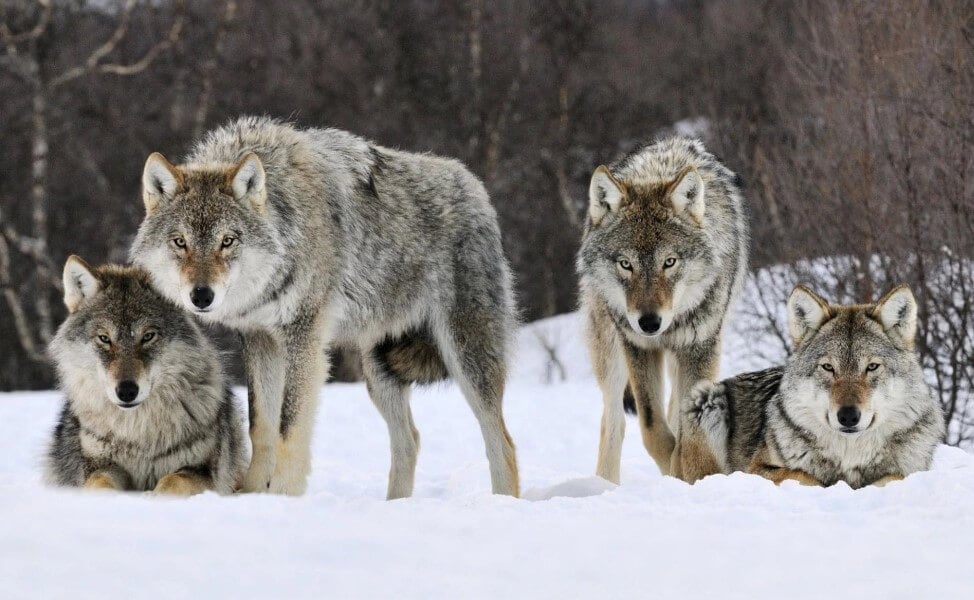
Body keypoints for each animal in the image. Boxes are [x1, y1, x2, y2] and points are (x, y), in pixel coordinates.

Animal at [44, 255, 248, 494]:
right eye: (104, 338)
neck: (138, 434)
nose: (126, 391)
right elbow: (99, 484)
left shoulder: (202, 470)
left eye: (148, 336)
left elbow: (172, 482)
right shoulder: (100, 466)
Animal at [135, 116, 528, 496]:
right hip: (379, 371)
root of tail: (475, 186)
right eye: (180, 242)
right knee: (410, 441)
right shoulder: (260, 339)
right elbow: (260, 428)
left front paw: (283, 496)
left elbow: (289, 429)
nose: (201, 296)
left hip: (466, 358)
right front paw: (252, 494)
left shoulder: (304, 338)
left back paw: (501, 502)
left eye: (227, 241)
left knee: (503, 442)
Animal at [576, 137, 752, 482]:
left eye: (669, 262)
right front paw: (674, 469)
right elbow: (652, 427)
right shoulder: (638, 346)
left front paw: (687, 473)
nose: (649, 322)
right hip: (611, 352)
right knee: (613, 420)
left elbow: (686, 428)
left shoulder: (700, 347)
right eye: (626, 264)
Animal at [680, 284, 944, 488]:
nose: (848, 416)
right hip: (706, 399)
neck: (850, 456)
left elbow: (894, 477)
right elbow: (804, 475)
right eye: (828, 367)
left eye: (872, 367)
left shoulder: (910, 471)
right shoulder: (757, 469)